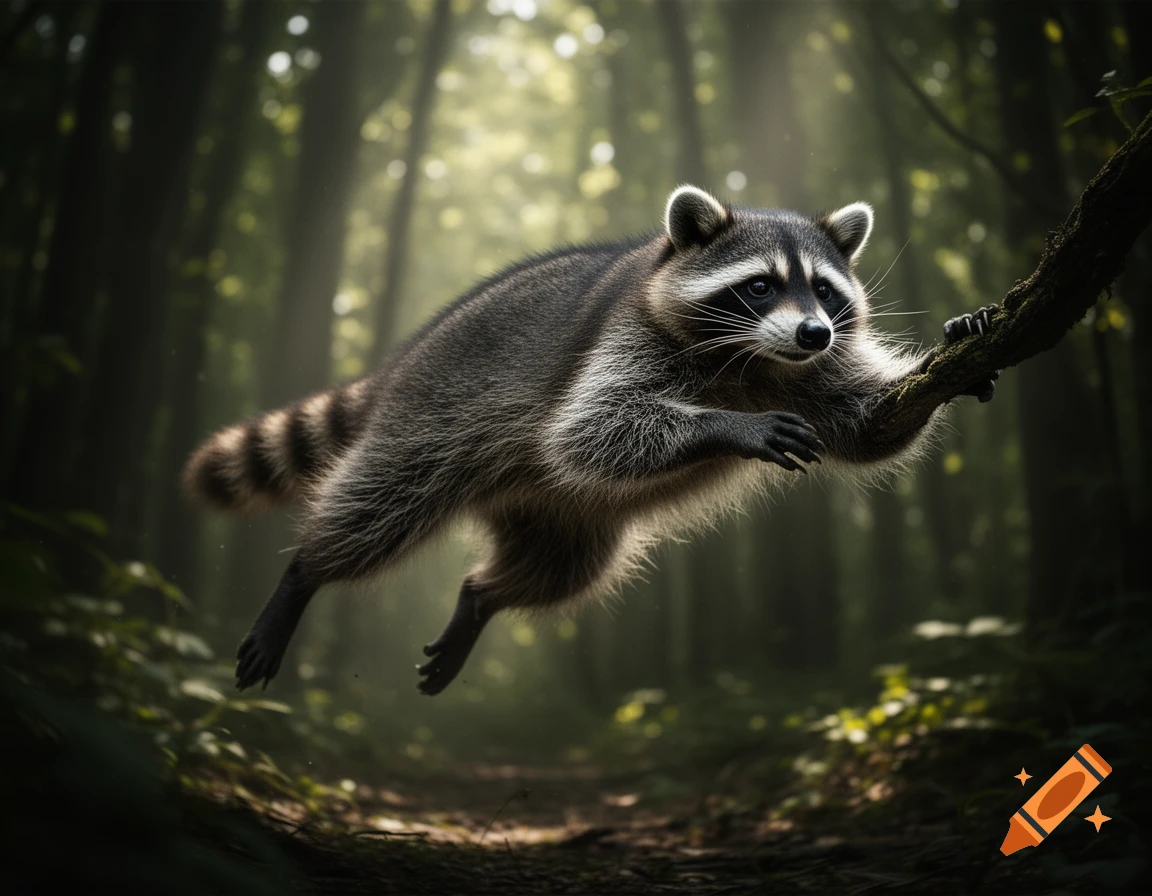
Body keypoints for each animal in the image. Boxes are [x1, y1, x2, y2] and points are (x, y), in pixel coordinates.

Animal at [184, 186, 997, 696]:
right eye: (762, 286)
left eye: (825, 291)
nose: (816, 332)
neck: (757, 360)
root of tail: (403, 361)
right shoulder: (627, 337)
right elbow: (593, 429)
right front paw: (728, 426)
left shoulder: (812, 373)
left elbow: (869, 427)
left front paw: (947, 359)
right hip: (433, 416)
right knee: (379, 504)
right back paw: (304, 573)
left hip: (565, 520)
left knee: (559, 571)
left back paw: (480, 598)